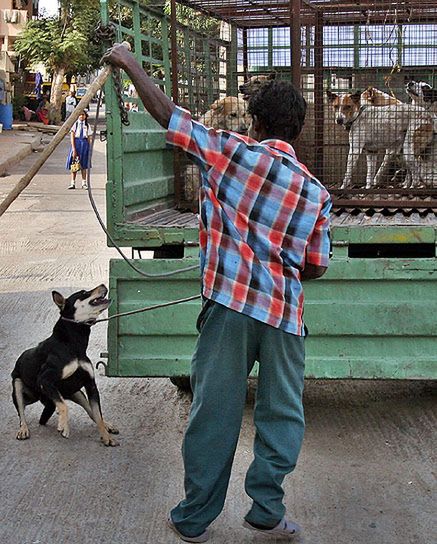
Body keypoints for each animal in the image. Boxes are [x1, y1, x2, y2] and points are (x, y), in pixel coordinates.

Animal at [11, 284, 118, 446]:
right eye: (84, 293)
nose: (103, 285)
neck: (73, 344)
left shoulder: (90, 385)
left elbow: (98, 415)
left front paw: (106, 437)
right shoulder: (45, 379)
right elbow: (64, 406)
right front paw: (63, 426)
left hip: (77, 393)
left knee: (90, 412)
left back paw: (107, 426)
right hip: (18, 386)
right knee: (21, 412)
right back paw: (23, 429)